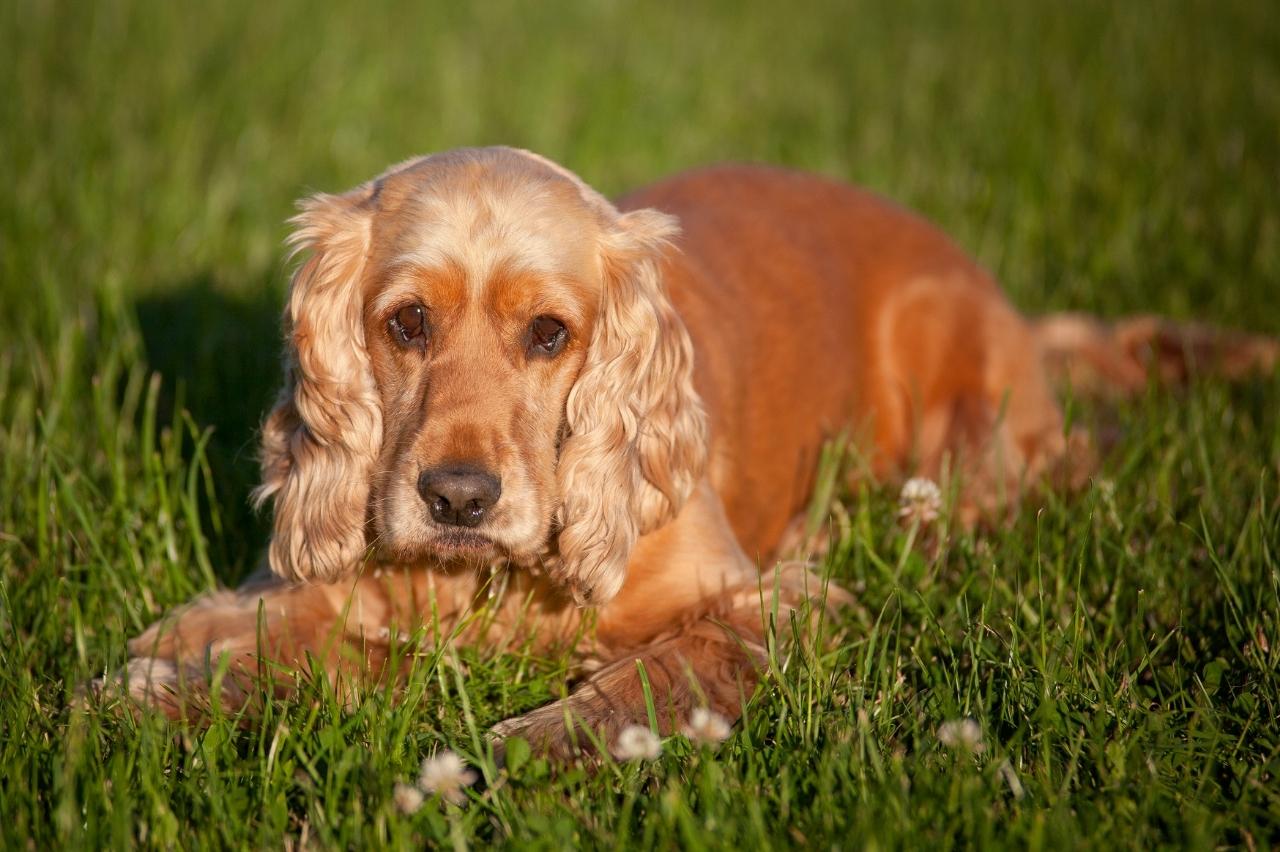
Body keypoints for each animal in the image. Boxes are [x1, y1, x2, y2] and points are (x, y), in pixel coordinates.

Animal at [112, 145, 1280, 757]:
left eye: (550, 335)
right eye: (406, 322)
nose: (456, 498)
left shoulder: (781, 606)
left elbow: (660, 671)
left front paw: (521, 750)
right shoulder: (335, 589)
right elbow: (263, 633)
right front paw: (146, 696)